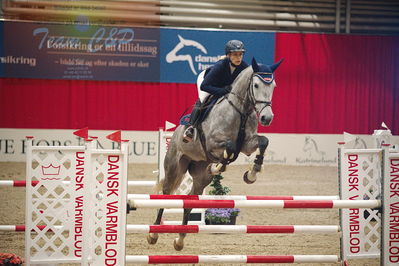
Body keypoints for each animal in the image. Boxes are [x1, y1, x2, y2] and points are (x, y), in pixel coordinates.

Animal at [148, 57, 282, 250]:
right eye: (256, 85)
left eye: (273, 86)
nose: (267, 118)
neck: (240, 110)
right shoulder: (213, 142)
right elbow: (230, 147)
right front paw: (219, 165)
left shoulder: (248, 145)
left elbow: (263, 141)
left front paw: (252, 173)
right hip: (174, 167)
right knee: (166, 195)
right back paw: (153, 234)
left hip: (200, 177)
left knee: (188, 202)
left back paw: (180, 240)